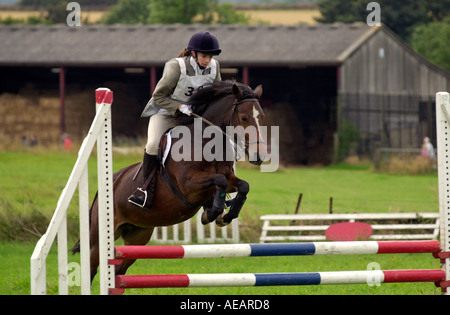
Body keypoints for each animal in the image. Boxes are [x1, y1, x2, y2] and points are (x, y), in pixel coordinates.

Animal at [70, 81, 268, 282]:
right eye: (244, 118)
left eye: (262, 117)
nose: (259, 156)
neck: (205, 144)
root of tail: (112, 181)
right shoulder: (189, 185)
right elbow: (219, 181)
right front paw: (211, 214)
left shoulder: (228, 178)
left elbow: (242, 186)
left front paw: (226, 216)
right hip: (99, 240)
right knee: (92, 268)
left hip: (137, 237)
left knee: (120, 270)